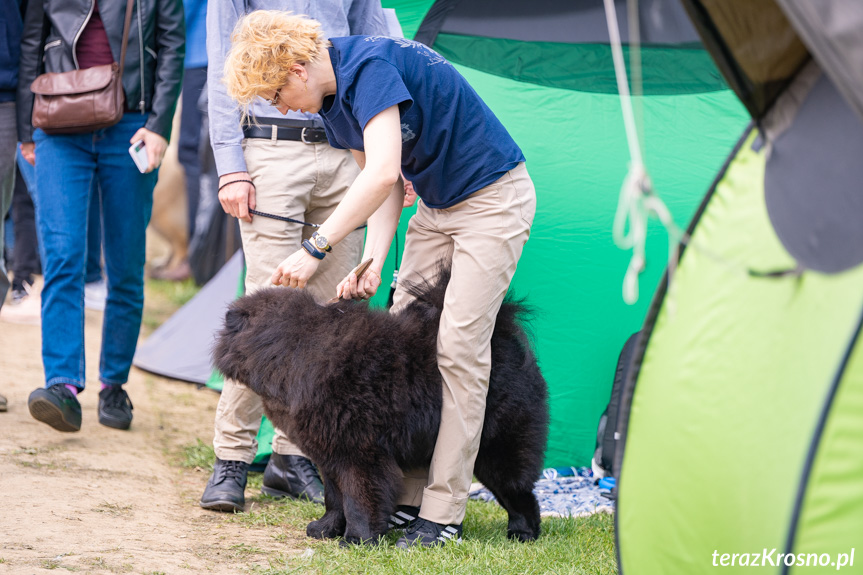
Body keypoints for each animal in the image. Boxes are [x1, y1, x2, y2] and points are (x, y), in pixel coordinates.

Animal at [213, 268, 552, 548]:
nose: (224, 319)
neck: (294, 348)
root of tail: (504, 338)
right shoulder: (329, 454)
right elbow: (334, 498)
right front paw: (326, 528)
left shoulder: (358, 454)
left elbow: (357, 499)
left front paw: (357, 539)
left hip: (495, 451)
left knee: (520, 494)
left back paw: (522, 532)